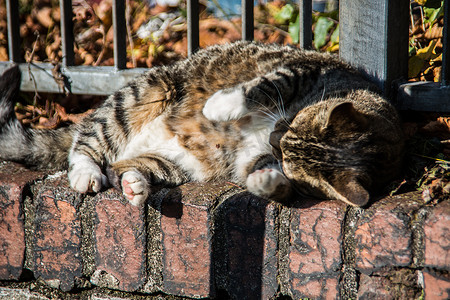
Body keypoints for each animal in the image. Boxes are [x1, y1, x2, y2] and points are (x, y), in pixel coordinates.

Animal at [0, 41, 404, 206]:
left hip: (179, 163)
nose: (274, 138)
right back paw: (86, 172)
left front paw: (269, 183)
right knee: (86, 139)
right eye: (290, 125)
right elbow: (266, 84)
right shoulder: (306, 68)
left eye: (287, 153)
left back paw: (134, 185)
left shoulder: (252, 159)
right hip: (144, 93)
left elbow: (265, 175)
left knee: (123, 166)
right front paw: (222, 105)